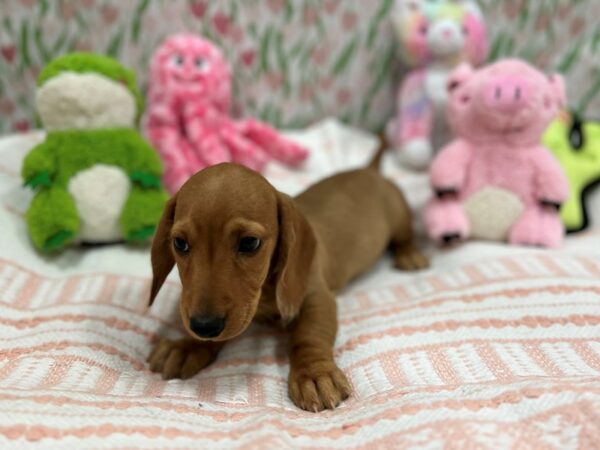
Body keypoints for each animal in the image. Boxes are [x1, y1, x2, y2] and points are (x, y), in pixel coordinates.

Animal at [148, 147, 428, 412]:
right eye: (179, 243)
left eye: (250, 243)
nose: (204, 326)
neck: (264, 292)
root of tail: (369, 170)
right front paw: (187, 347)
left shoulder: (316, 297)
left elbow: (308, 335)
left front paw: (314, 373)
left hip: (399, 216)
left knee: (405, 236)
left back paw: (410, 254)